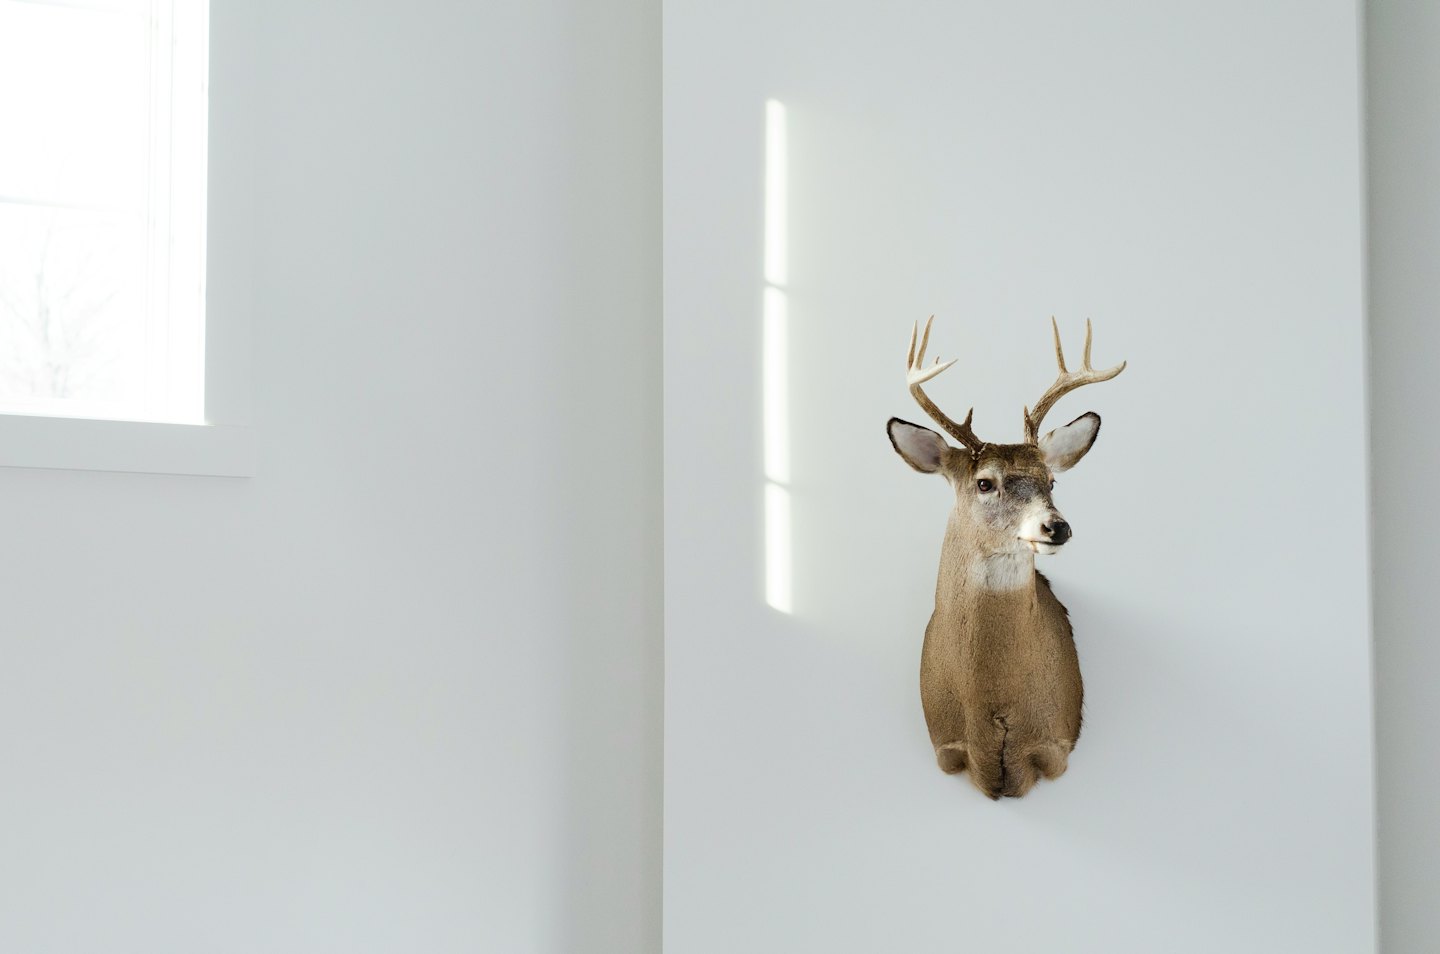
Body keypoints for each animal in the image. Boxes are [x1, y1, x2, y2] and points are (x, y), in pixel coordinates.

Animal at [886, 316, 1125, 799]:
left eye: (1051, 480)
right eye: (984, 482)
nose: (1056, 526)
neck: (990, 702)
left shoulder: (1054, 744)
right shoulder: (946, 748)